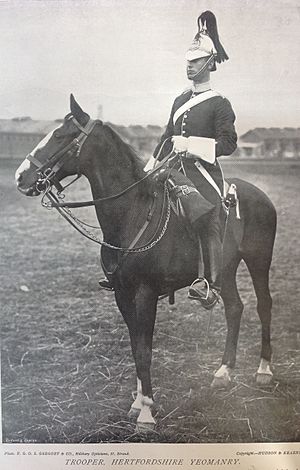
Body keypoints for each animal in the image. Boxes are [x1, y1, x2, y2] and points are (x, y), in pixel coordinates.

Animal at [14, 93, 276, 432]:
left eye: (61, 135)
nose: (21, 176)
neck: (132, 214)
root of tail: (259, 194)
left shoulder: (146, 293)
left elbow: (145, 348)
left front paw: (148, 413)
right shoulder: (122, 294)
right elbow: (135, 344)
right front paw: (138, 403)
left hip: (259, 260)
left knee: (264, 305)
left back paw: (264, 370)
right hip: (226, 268)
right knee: (235, 308)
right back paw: (223, 372)